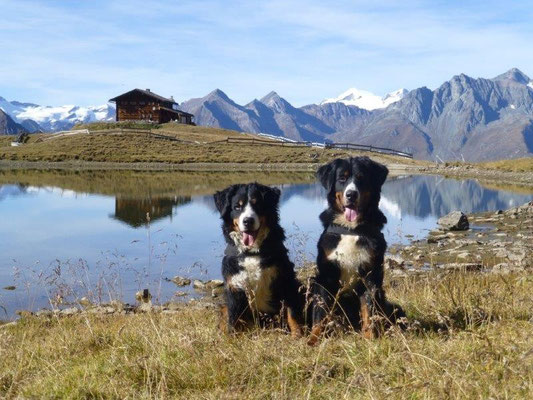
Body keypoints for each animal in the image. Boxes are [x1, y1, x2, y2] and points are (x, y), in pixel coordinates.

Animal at [213, 182, 304, 338]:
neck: (251, 252)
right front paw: (231, 338)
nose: (248, 221)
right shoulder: (234, 287)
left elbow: (292, 314)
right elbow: (233, 319)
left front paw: (298, 335)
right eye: (237, 207)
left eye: (258, 205)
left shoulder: (285, 280)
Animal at [308, 156, 404, 344]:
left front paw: (370, 338)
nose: (351, 194)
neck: (351, 229)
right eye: (342, 178)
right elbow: (320, 314)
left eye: (361, 178)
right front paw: (313, 339)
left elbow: (369, 311)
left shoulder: (370, 276)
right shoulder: (325, 277)